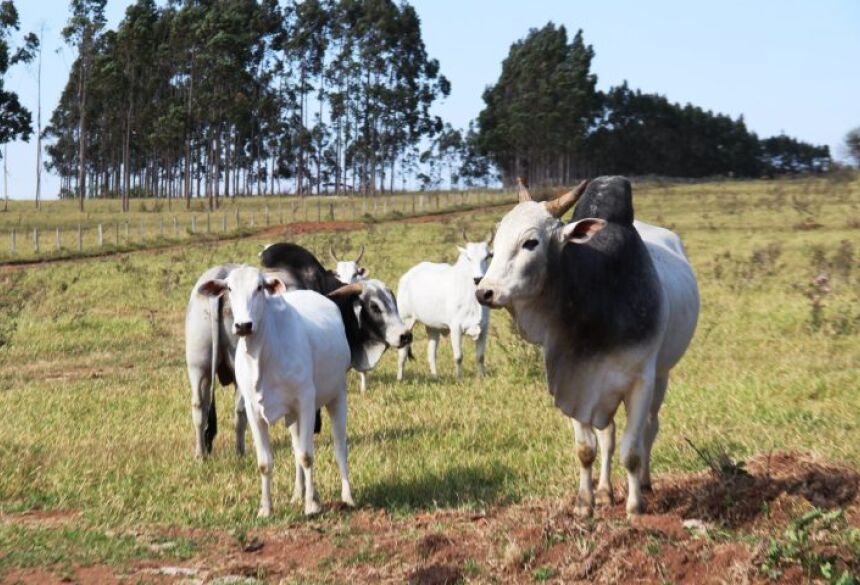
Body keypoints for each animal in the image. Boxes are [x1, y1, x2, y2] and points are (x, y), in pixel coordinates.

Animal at [400, 230, 494, 380]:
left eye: (488, 256)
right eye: (468, 257)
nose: (478, 279)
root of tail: (407, 276)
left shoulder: (484, 328)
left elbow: (480, 357)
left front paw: (481, 377)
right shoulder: (456, 328)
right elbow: (458, 356)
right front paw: (458, 378)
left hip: (432, 327)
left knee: (431, 353)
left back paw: (435, 377)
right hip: (406, 321)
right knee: (402, 353)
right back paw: (400, 377)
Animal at [478, 177, 700, 516]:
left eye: (531, 243)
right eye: (495, 244)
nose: (485, 292)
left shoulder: (641, 382)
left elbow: (632, 450)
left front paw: (635, 506)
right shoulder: (575, 380)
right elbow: (587, 449)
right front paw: (586, 503)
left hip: (661, 376)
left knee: (650, 428)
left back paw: (645, 483)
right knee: (608, 435)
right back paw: (606, 490)